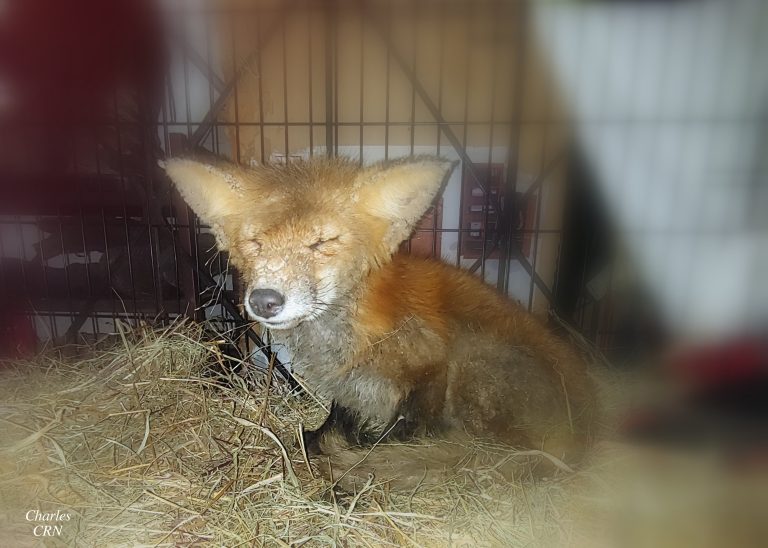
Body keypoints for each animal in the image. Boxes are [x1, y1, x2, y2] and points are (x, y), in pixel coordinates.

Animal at [161, 155, 596, 489]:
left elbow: (404, 433)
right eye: (255, 244)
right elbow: (335, 420)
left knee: (477, 449)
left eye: (321, 243)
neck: (345, 332)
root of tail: (583, 433)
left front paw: (355, 460)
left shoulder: (430, 371)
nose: (264, 301)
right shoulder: (349, 385)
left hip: (473, 362)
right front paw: (327, 441)